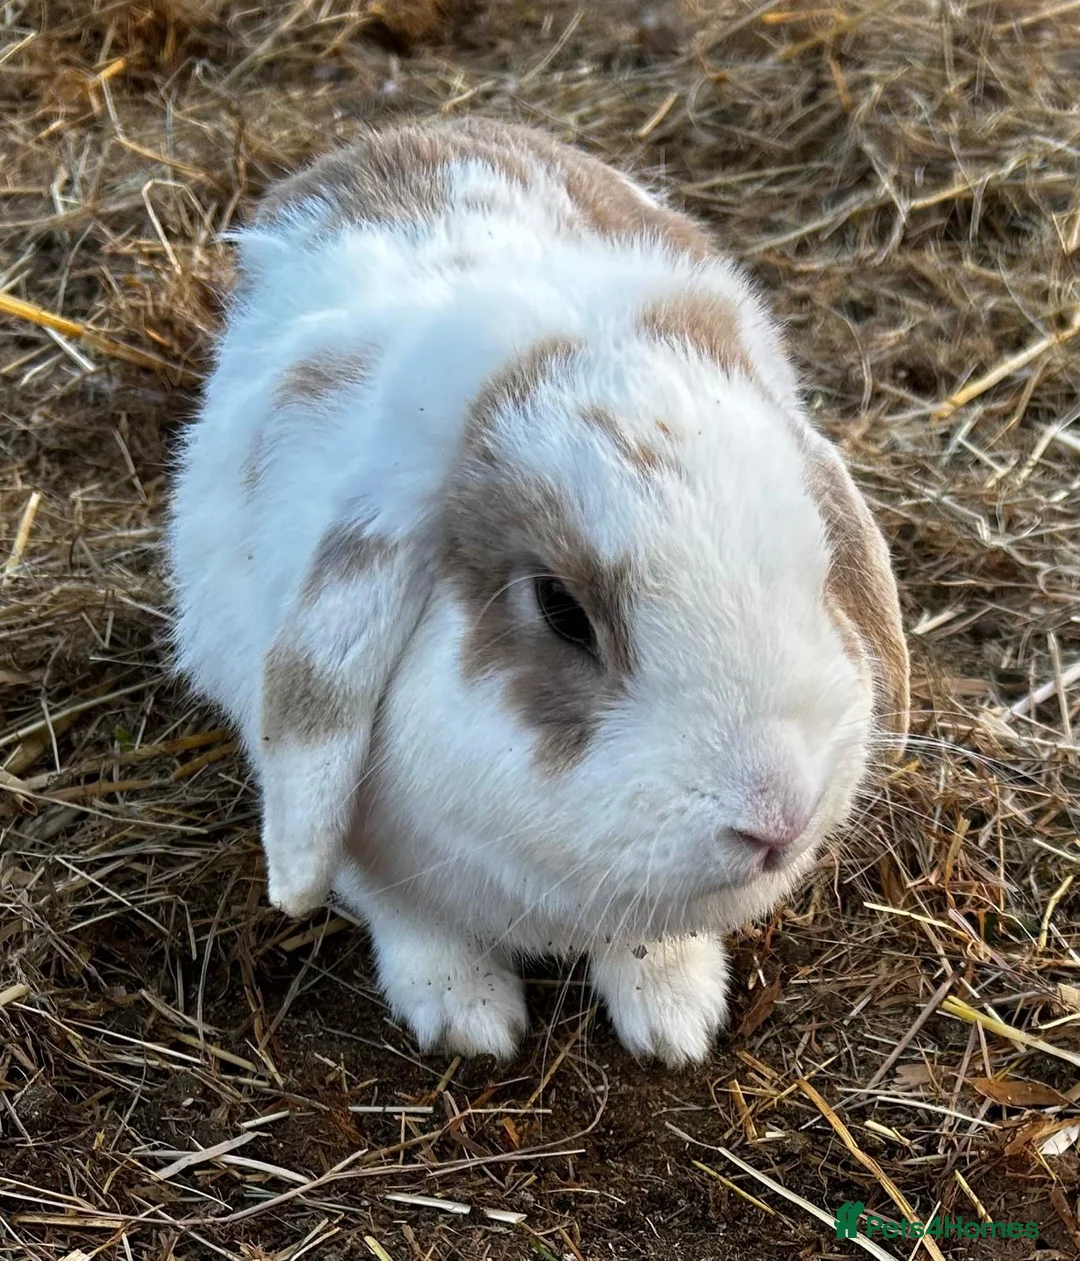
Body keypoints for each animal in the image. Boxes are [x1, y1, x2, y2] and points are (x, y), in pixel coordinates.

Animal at [168, 115, 909, 1067]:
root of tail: (419, 129)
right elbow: (409, 915)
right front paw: (470, 1018)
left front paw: (676, 1018)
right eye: (562, 610)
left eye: (818, 563)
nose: (778, 819)